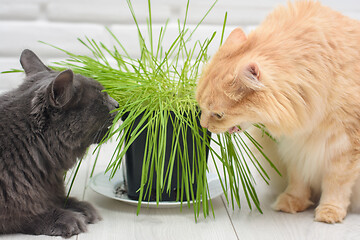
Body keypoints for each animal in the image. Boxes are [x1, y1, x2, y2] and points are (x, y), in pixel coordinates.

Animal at [0, 49, 118, 238]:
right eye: (101, 98)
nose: (117, 104)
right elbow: (23, 214)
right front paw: (65, 218)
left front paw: (82, 207)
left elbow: (60, 198)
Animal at [195, 0, 360, 224]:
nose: (203, 124)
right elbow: (298, 179)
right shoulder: (295, 146)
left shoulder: (345, 145)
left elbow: (336, 184)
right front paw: (292, 202)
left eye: (218, 115)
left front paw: (329, 212)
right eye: (200, 107)